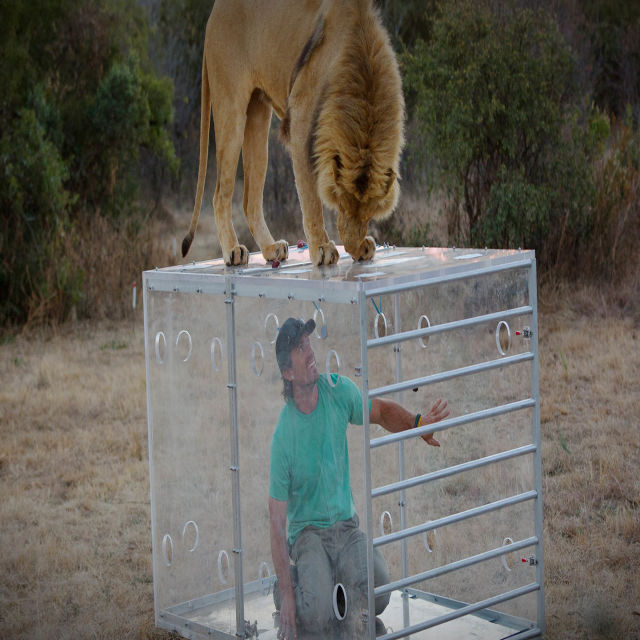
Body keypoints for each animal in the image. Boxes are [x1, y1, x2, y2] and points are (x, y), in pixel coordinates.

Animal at [181, 0, 405, 267]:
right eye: (340, 204)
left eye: (370, 213)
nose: (353, 246)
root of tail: (215, 11)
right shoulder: (300, 118)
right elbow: (310, 198)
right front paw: (322, 248)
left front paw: (359, 247)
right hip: (230, 108)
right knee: (219, 195)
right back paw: (233, 250)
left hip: (258, 116)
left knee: (249, 201)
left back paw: (270, 248)